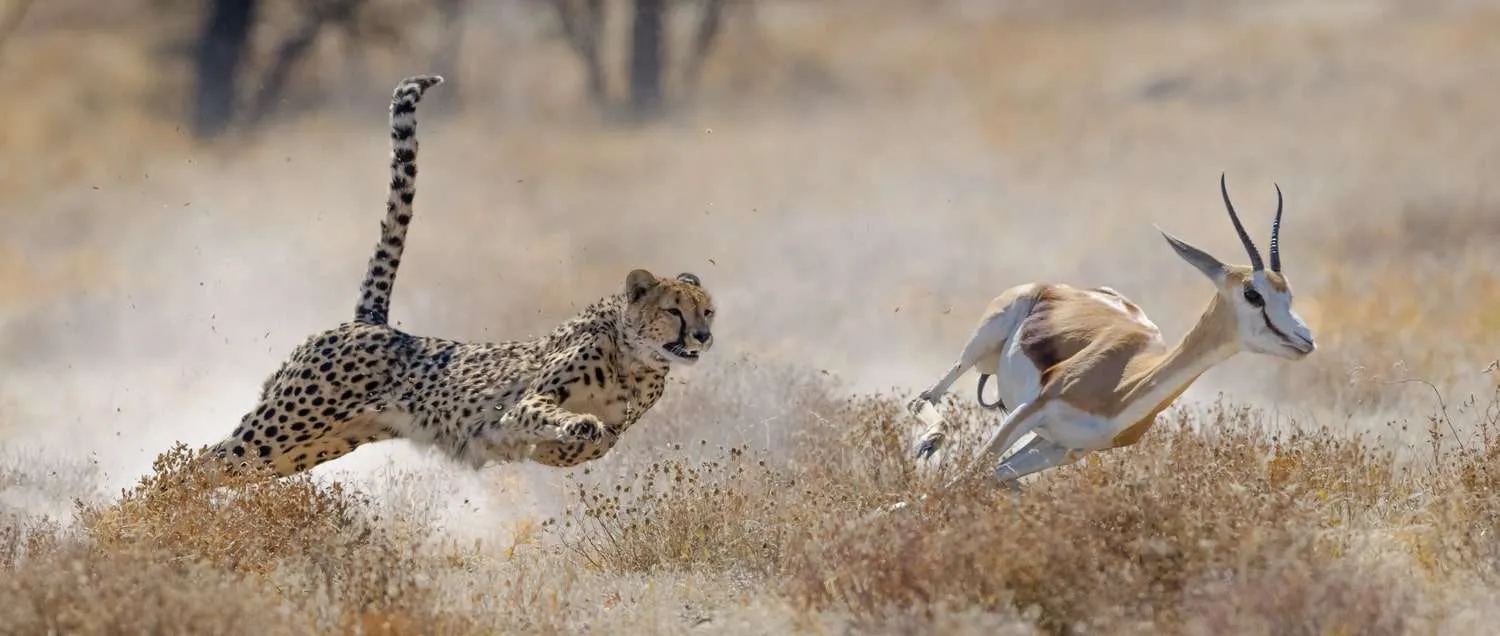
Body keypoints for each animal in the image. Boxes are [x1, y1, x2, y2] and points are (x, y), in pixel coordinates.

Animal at [200, 75, 716, 478]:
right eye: (674, 311)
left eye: (708, 311)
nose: (704, 337)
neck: (635, 360)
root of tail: (370, 321)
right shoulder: (525, 402)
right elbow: (552, 415)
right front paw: (576, 426)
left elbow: (598, 442)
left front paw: (573, 438)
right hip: (285, 424)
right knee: (202, 462)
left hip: (309, 445)